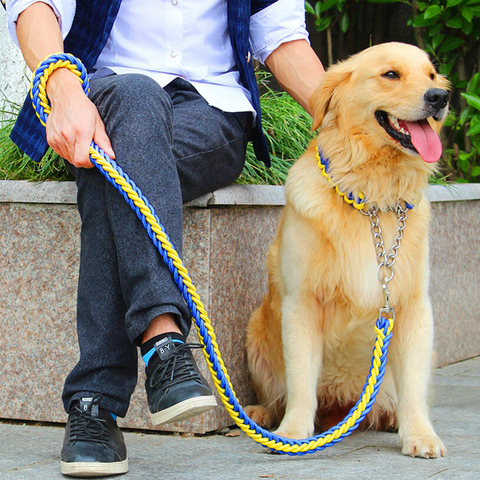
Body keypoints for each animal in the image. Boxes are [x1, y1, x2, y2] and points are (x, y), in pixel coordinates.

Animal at [246, 43, 448, 460]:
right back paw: (261, 414)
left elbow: (414, 385)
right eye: (391, 74)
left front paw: (420, 434)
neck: (372, 198)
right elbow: (300, 380)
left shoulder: (413, 305)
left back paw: (392, 419)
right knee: (275, 395)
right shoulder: (302, 302)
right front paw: (292, 432)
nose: (440, 98)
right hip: (255, 330)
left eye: (432, 75)